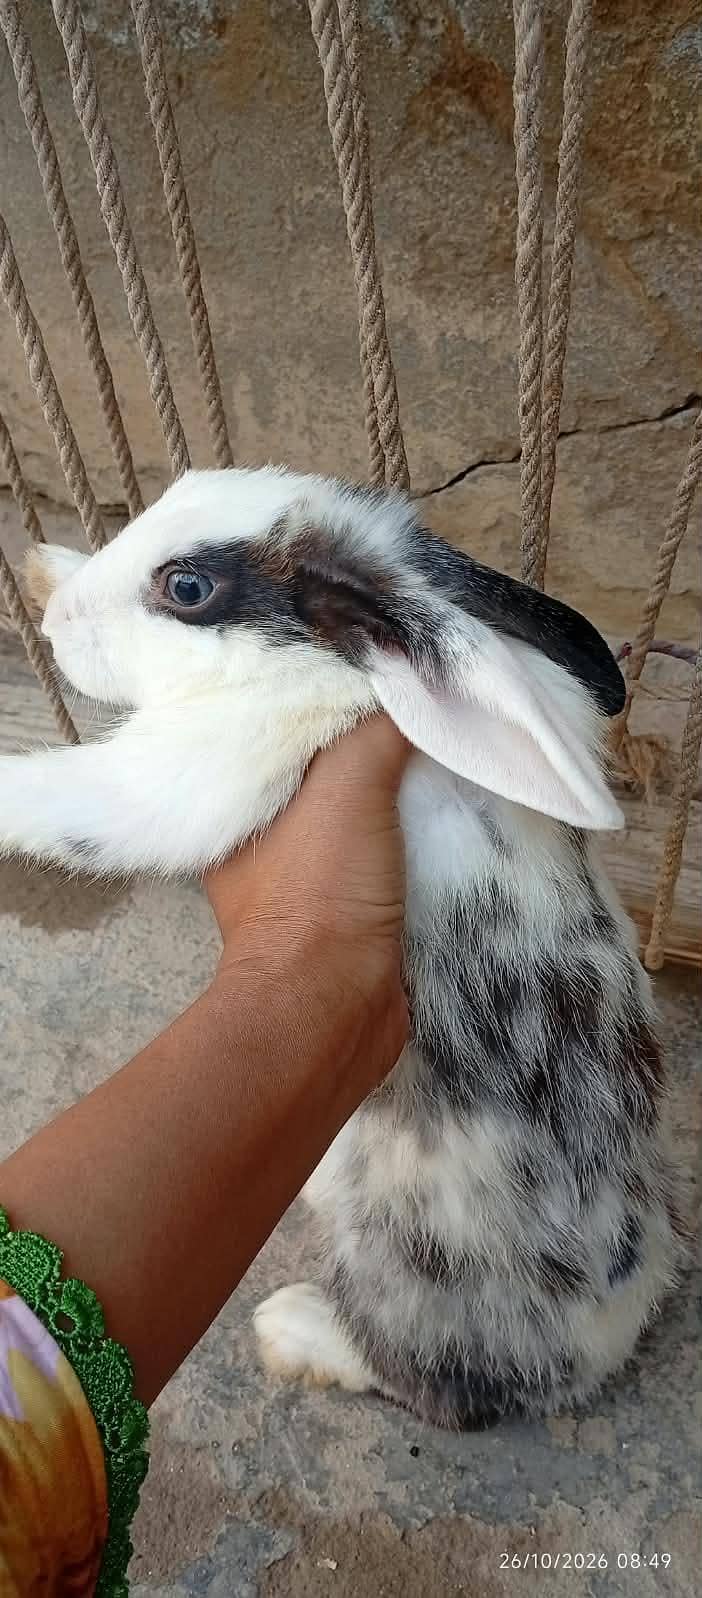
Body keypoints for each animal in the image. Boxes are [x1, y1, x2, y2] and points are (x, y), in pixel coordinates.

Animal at [1, 466, 686, 1427]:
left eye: (187, 588)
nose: (59, 621)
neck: (325, 674)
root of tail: (621, 1327)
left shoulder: (187, 775)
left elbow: (62, 795)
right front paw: (43, 565)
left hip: (410, 1270)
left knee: (435, 1380)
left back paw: (294, 1332)